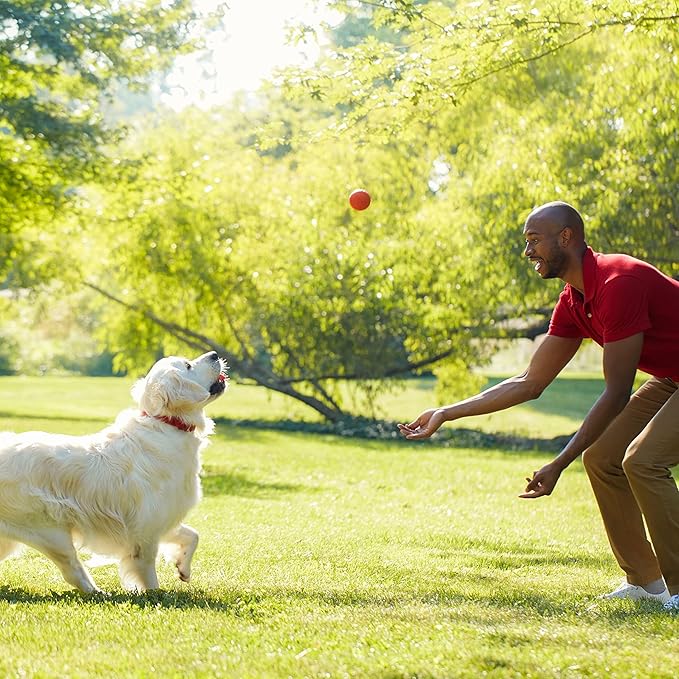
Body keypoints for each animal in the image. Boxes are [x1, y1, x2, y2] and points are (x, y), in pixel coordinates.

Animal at [0, 354, 228, 592]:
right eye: (188, 366)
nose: (214, 354)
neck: (166, 423)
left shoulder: (163, 518)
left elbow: (193, 535)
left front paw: (183, 568)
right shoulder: (145, 529)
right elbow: (149, 573)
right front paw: (154, 593)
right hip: (50, 531)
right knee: (73, 571)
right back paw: (97, 592)